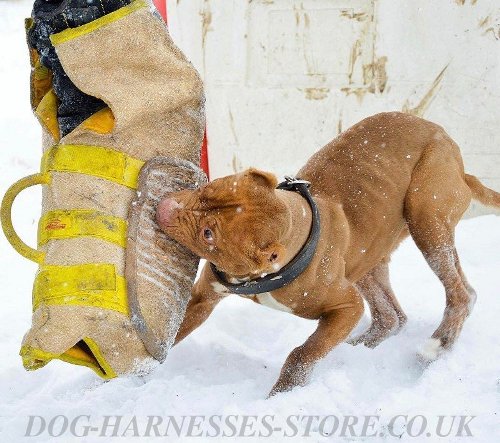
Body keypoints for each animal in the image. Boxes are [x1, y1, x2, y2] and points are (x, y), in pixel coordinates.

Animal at [154, 112, 498, 398]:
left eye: (208, 234)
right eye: (204, 191)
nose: (164, 205)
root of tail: (455, 155)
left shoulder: (345, 306)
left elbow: (303, 353)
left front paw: (280, 397)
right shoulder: (203, 297)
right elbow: (170, 334)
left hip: (426, 215)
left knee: (460, 293)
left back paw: (437, 345)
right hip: (367, 256)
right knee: (391, 316)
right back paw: (359, 348)